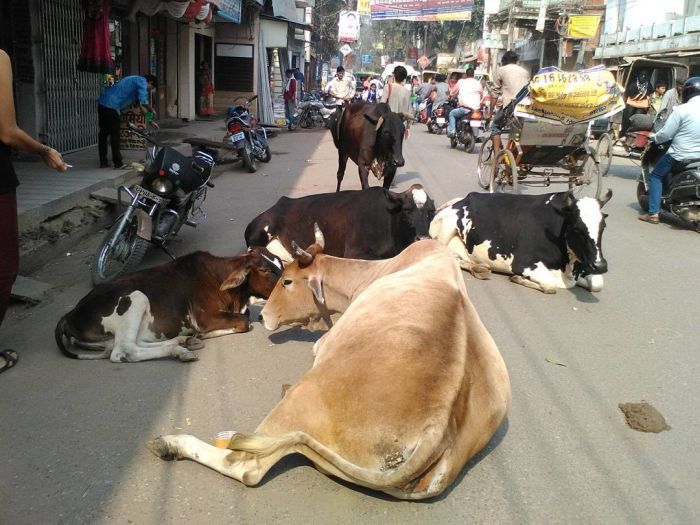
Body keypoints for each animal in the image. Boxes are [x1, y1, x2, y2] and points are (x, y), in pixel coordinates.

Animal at [54, 248, 284, 362]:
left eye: (280, 264)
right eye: (265, 270)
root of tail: (69, 315)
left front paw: (193, 337)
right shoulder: (204, 317)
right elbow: (245, 322)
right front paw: (201, 334)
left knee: (136, 343)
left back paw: (182, 342)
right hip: (136, 297)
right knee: (125, 351)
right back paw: (181, 349)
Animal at [148, 231, 512, 498]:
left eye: (287, 281)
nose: (263, 316)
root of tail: (438, 426)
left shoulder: (322, 344)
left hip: (300, 400)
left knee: (245, 467)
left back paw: (173, 443)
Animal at [243, 184, 434, 262]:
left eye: (431, 211)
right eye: (406, 210)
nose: (423, 239)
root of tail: (281, 202)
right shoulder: (354, 252)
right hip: (260, 230)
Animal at [430, 190, 608, 292]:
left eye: (604, 226)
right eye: (577, 228)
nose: (600, 266)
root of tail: (463, 198)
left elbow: (597, 284)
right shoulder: (523, 264)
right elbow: (550, 285)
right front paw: (519, 279)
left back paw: (480, 267)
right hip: (446, 228)